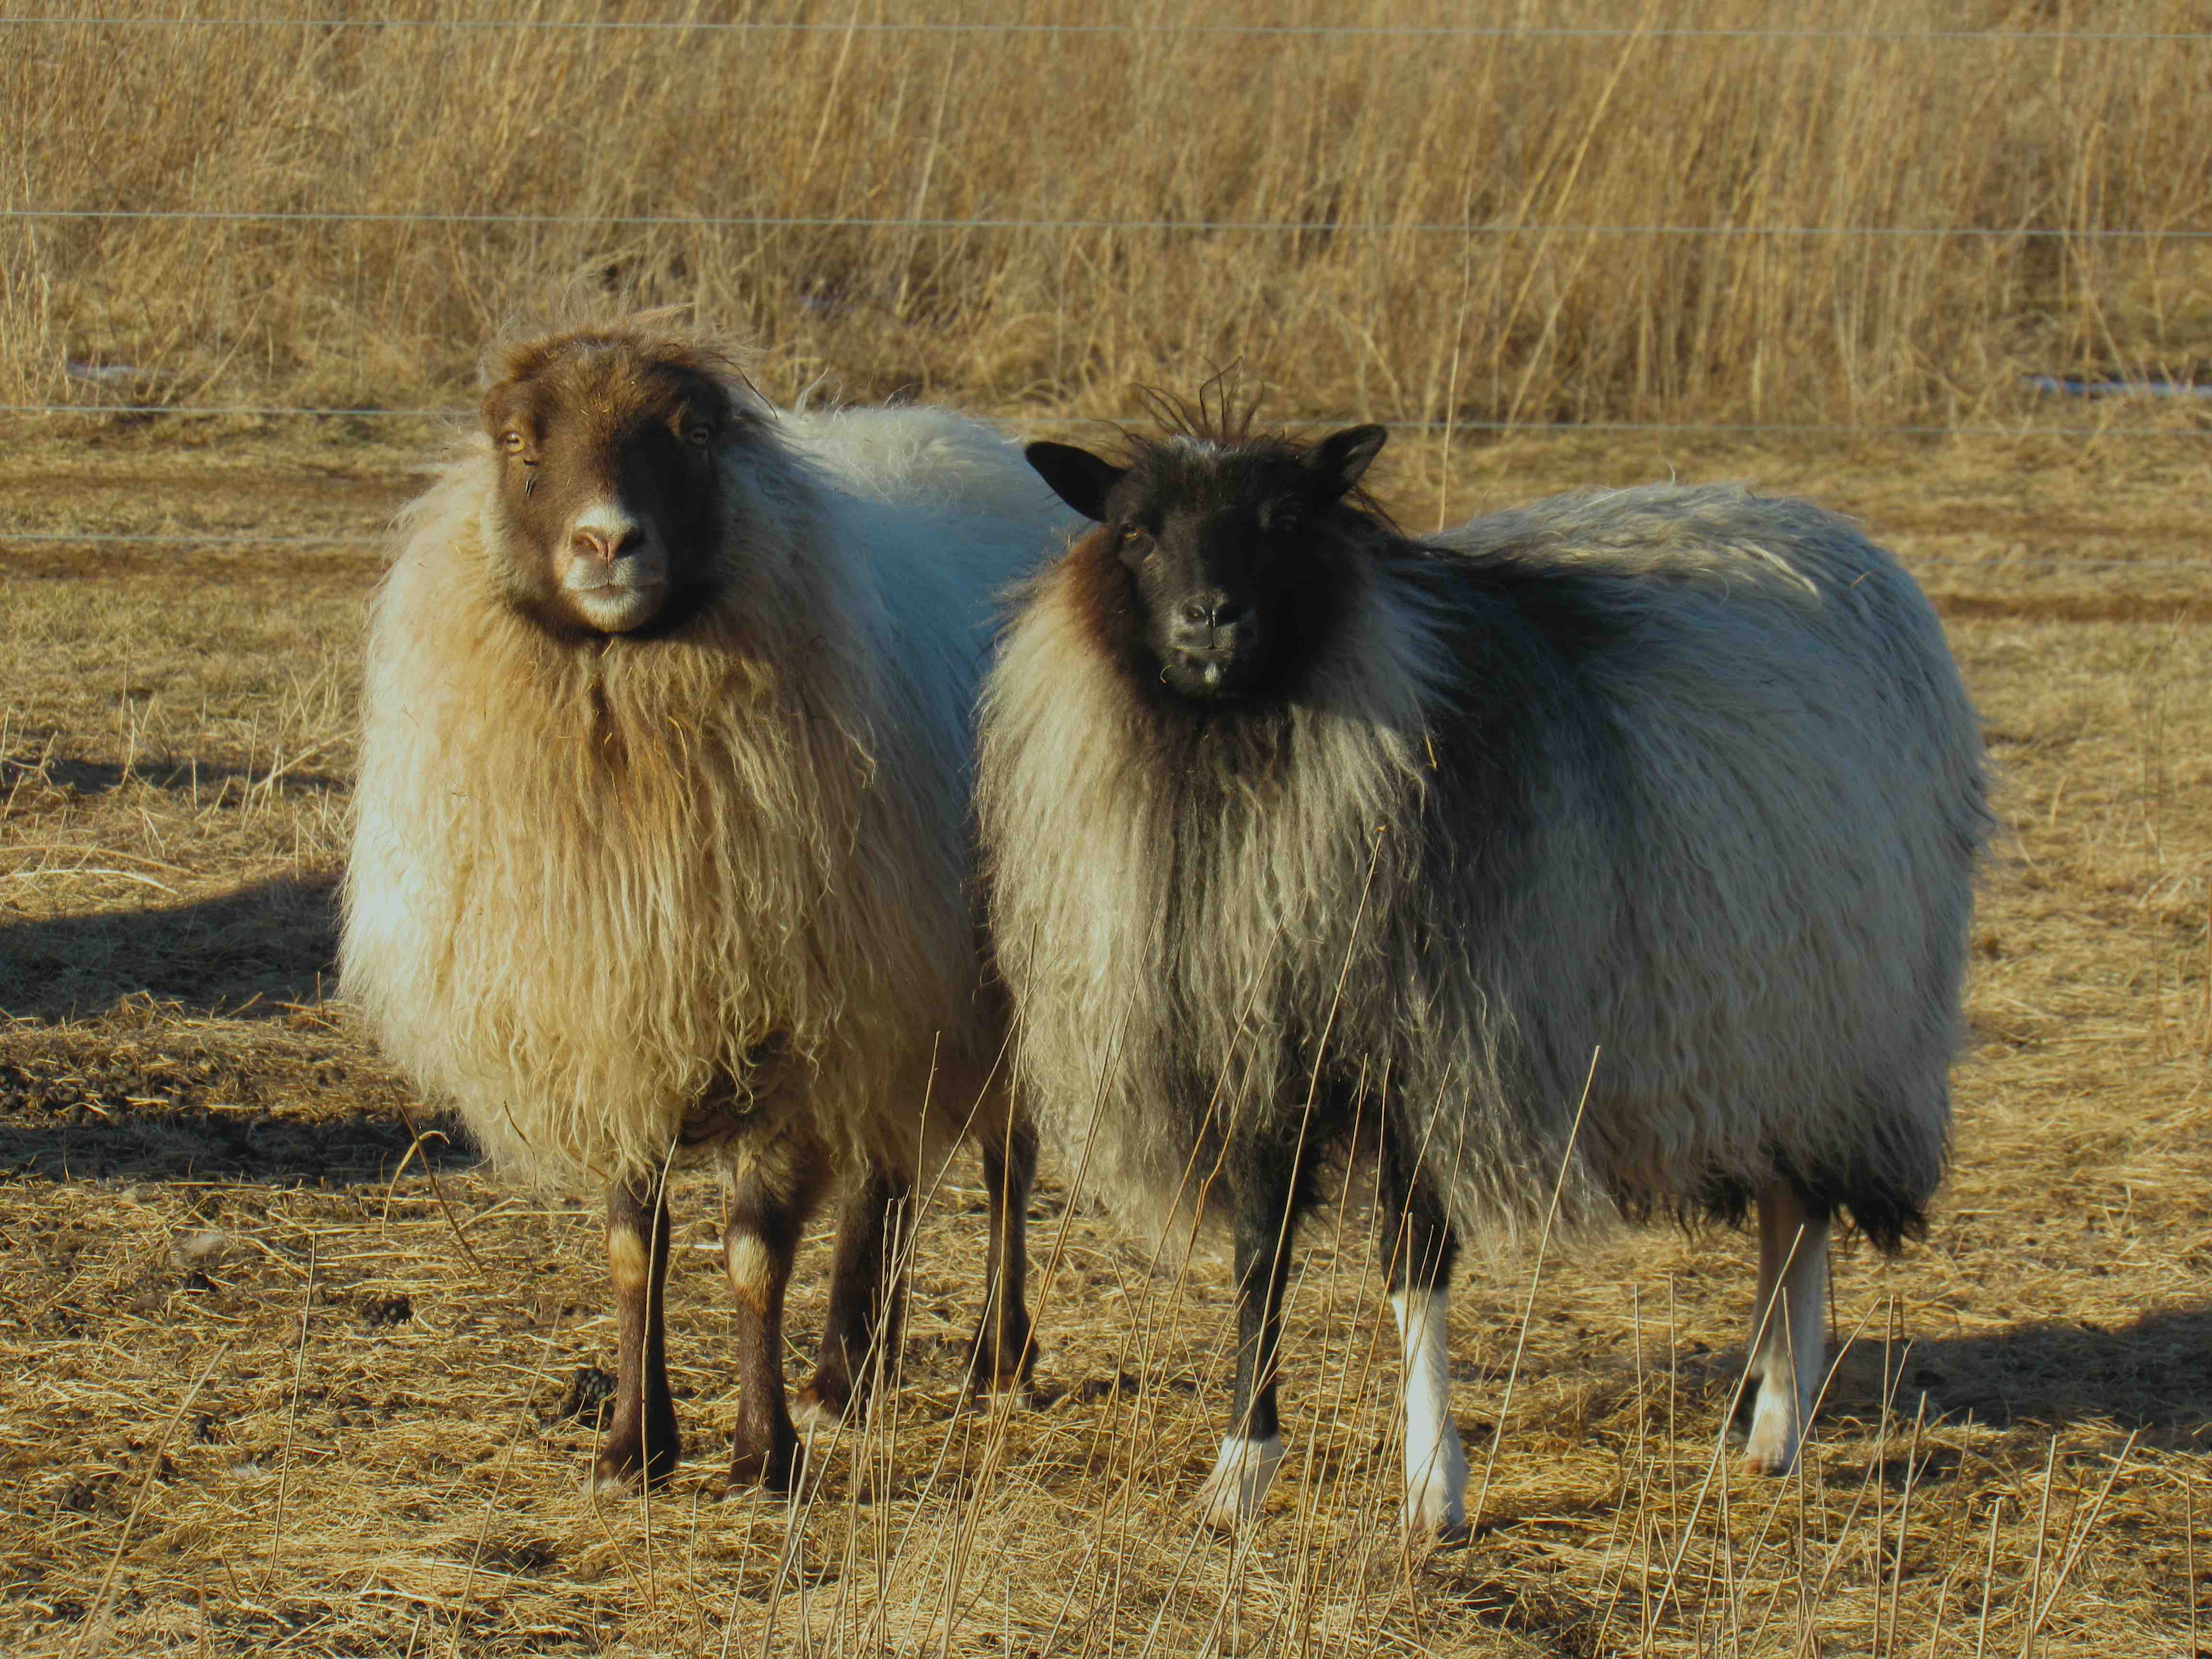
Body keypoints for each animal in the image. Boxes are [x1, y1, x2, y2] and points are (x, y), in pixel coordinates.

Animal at [342, 324, 1066, 1494]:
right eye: (518, 440)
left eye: (689, 433)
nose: (605, 542)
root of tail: (973, 436)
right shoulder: (622, 1029)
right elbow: (635, 1248)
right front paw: (635, 1445)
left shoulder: (792, 1032)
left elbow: (753, 1253)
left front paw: (762, 1456)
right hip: (896, 992)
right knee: (890, 1177)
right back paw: (847, 1374)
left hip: (986, 974)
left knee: (1009, 1160)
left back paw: (996, 1357)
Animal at [978, 410, 1989, 1536]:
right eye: (1135, 530)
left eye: (1284, 521)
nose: (1210, 624)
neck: (1242, 755)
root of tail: (1845, 542)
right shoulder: (1266, 1054)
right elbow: (1261, 1259)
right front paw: (1240, 1470)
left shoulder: (1428, 1050)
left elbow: (1413, 1263)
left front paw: (1433, 1485)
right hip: (1768, 1040)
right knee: (1779, 1212)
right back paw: (1761, 1410)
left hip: (1839, 1024)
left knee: (1803, 1218)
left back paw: (1779, 1421)